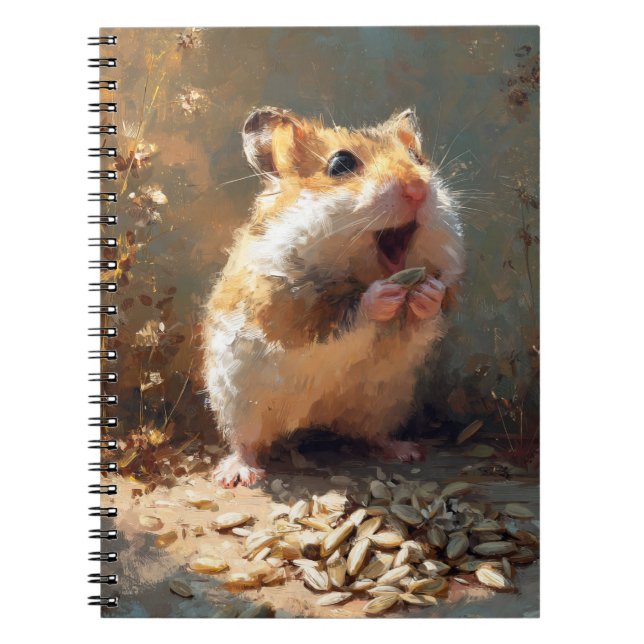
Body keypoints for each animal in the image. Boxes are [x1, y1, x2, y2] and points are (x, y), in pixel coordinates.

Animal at [204, 106, 465, 487]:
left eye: (417, 158)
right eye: (341, 164)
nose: (418, 189)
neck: (360, 271)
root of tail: (313, 420)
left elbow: (426, 314)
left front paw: (427, 292)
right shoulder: (289, 308)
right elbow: (343, 314)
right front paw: (382, 294)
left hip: (386, 401)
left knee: (373, 435)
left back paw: (406, 450)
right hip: (237, 402)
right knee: (244, 442)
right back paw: (238, 474)